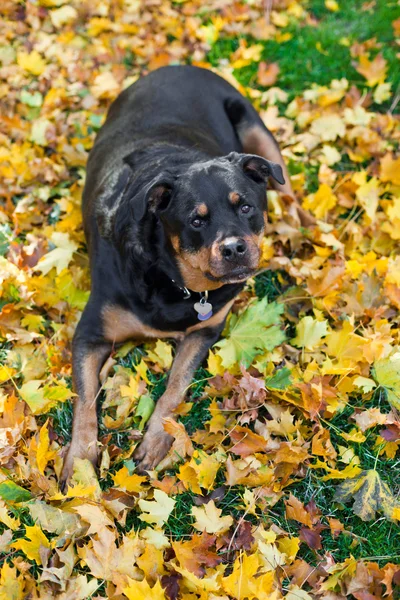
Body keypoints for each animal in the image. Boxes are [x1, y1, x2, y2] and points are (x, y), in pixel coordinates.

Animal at [61, 64, 308, 488]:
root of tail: (178, 65)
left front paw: (158, 439)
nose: (233, 248)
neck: (173, 279)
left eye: (245, 207)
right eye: (196, 220)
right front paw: (80, 463)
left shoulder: (205, 330)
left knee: (288, 187)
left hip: (258, 133)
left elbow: (175, 386)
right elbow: (84, 403)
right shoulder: (90, 335)